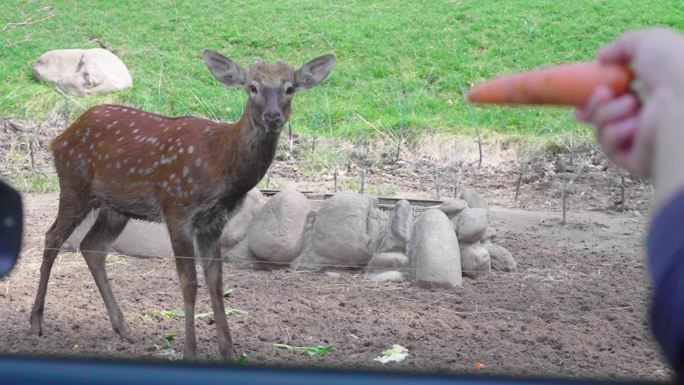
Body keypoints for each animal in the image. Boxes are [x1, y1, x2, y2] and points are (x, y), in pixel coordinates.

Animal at [30, 48, 336, 360]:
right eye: (253, 87)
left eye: (290, 88)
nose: (273, 117)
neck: (220, 163)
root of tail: (58, 138)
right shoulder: (177, 208)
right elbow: (189, 282)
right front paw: (190, 350)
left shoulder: (213, 222)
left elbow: (216, 281)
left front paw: (228, 351)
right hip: (74, 186)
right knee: (52, 237)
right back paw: (37, 322)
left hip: (115, 207)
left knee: (92, 247)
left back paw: (123, 327)